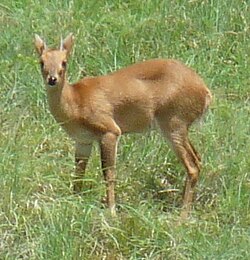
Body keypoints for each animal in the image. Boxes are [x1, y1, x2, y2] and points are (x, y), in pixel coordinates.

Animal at [34, 33, 212, 218]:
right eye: (41, 61)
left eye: (64, 62)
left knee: (192, 166)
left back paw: (182, 216)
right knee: (198, 159)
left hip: (173, 123)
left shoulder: (110, 130)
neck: (76, 101)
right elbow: (79, 172)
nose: (52, 79)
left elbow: (108, 172)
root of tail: (206, 92)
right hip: (179, 127)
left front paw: (112, 211)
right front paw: (75, 201)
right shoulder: (83, 140)